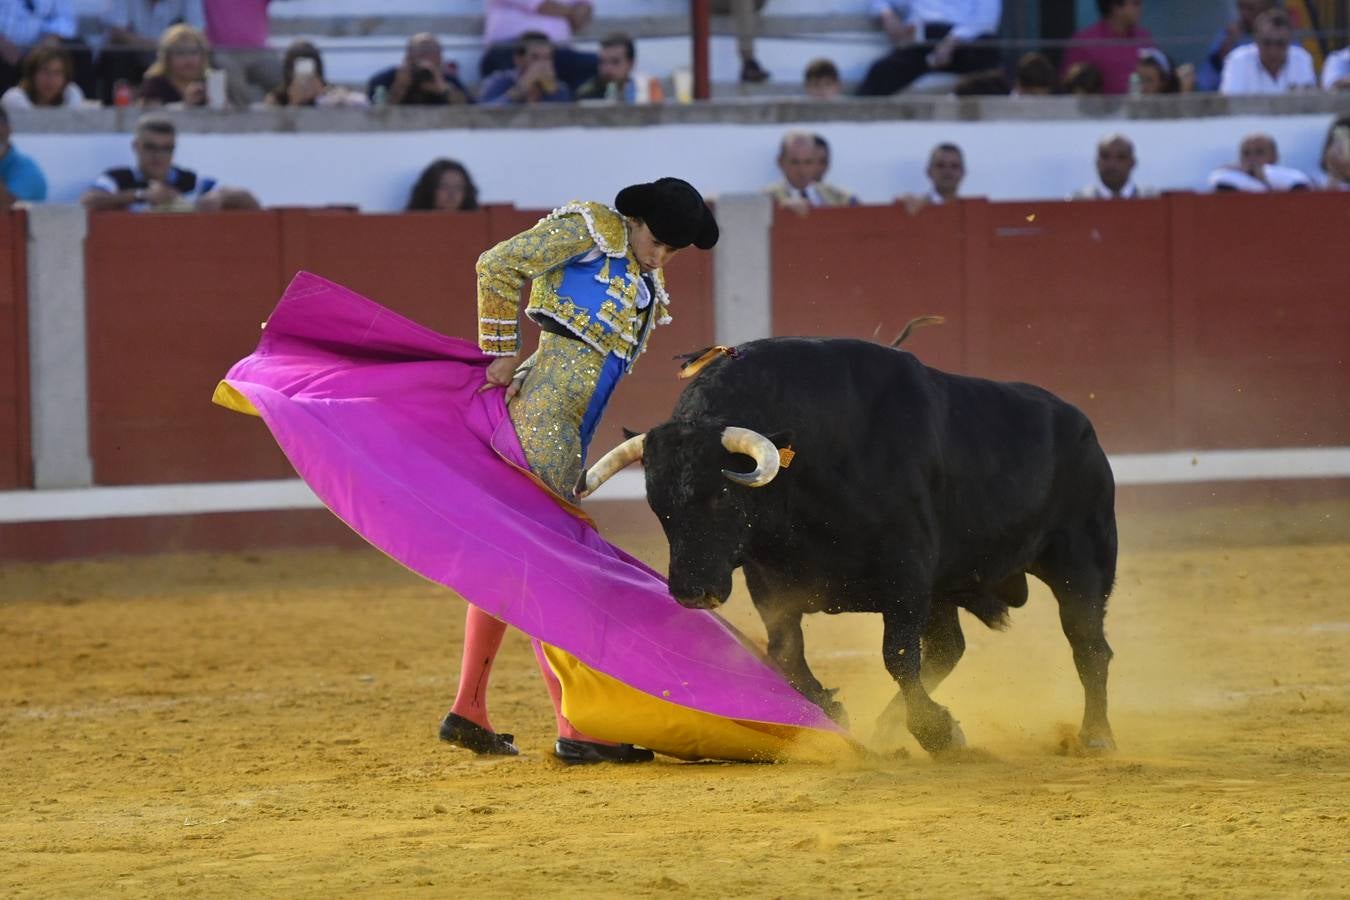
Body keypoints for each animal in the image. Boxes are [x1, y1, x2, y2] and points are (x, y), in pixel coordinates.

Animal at [580, 337, 1117, 755]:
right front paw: (833, 709)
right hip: (947, 588)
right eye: (657, 504)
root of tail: (1082, 426)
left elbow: (897, 655)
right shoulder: (771, 581)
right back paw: (887, 730)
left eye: (722, 496)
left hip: (1081, 562)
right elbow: (786, 654)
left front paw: (940, 734)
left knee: (1088, 645)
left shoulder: (906, 574)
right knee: (949, 647)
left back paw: (1095, 736)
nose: (691, 592)